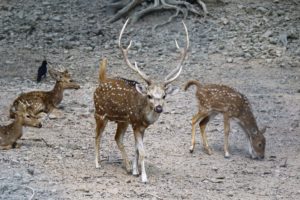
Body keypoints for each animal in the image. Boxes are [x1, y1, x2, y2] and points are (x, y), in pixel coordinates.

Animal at [94, 19, 189, 183]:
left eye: (164, 96)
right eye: (149, 95)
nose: (158, 108)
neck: (144, 116)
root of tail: (101, 81)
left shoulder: (141, 126)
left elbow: (137, 149)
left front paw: (135, 171)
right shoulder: (136, 123)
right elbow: (143, 151)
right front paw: (144, 177)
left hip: (122, 121)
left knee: (117, 138)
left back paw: (126, 167)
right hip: (99, 112)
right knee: (97, 135)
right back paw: (97, 163)